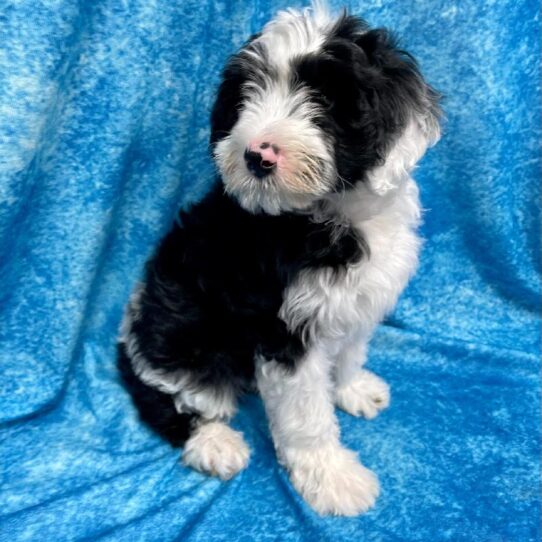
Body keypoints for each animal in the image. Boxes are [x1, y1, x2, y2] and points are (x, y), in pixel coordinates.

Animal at [119, 4, 442, 520]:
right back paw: (214, 442)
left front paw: (352, 388)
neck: (335, 211)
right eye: (246, 96)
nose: (256, 156)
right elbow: (307, 415)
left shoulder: (356, 302)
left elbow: (350, 351)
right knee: (167, 394)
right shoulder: (286, 331)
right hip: (180, 336)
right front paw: (333, 479)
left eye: (324, 100)